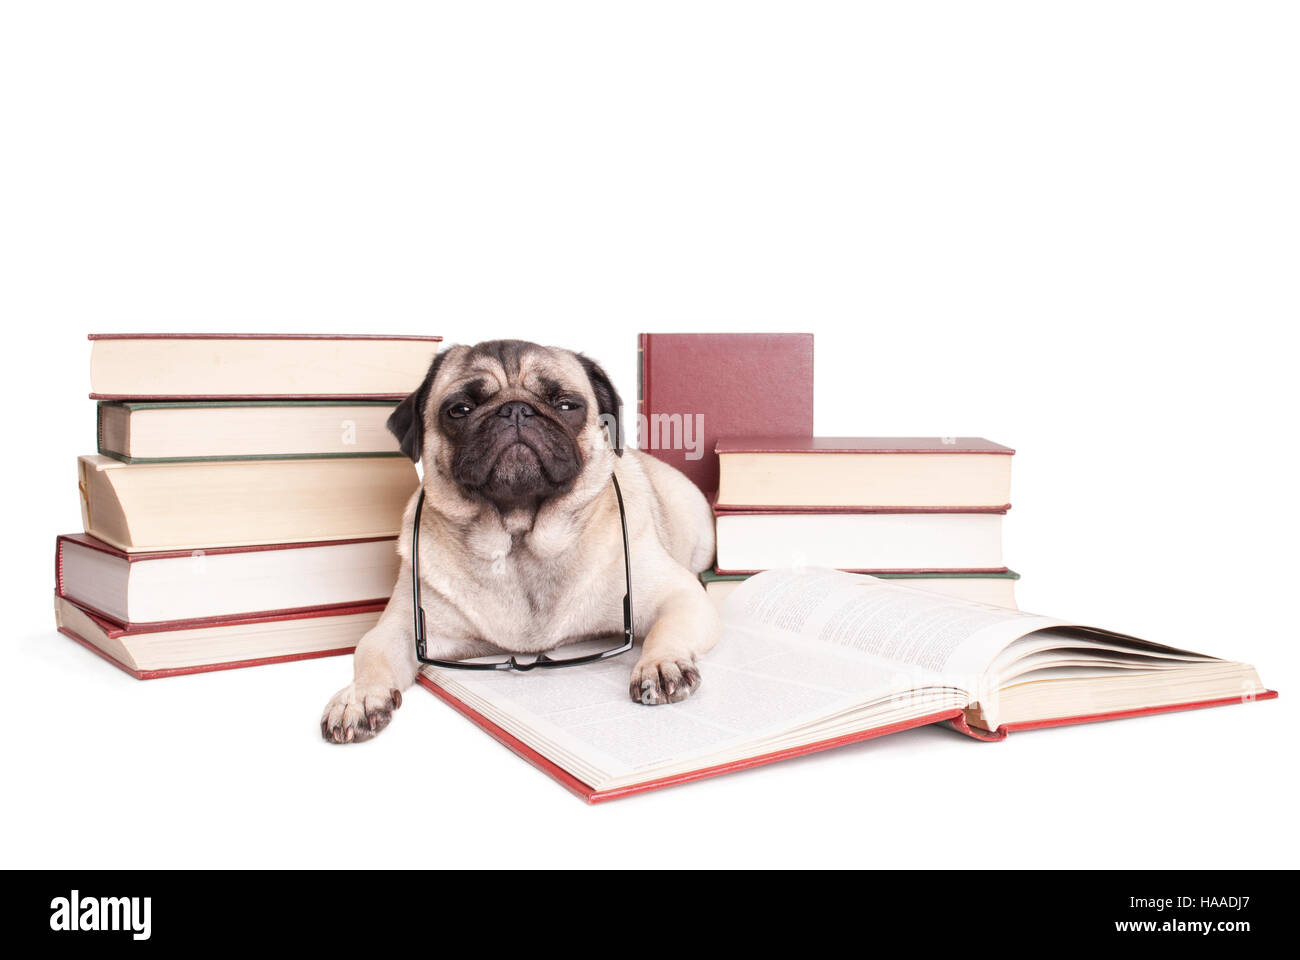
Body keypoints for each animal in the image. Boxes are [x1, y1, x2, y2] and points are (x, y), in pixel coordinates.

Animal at [318, 335, 717, 738]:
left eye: (566, 405)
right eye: (459, 409)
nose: (515, 410)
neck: (519, 539)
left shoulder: (677, 596)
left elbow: (667, 629)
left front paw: (661, 663)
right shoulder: (399, 629)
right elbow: (370, 655)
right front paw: (359, 696)